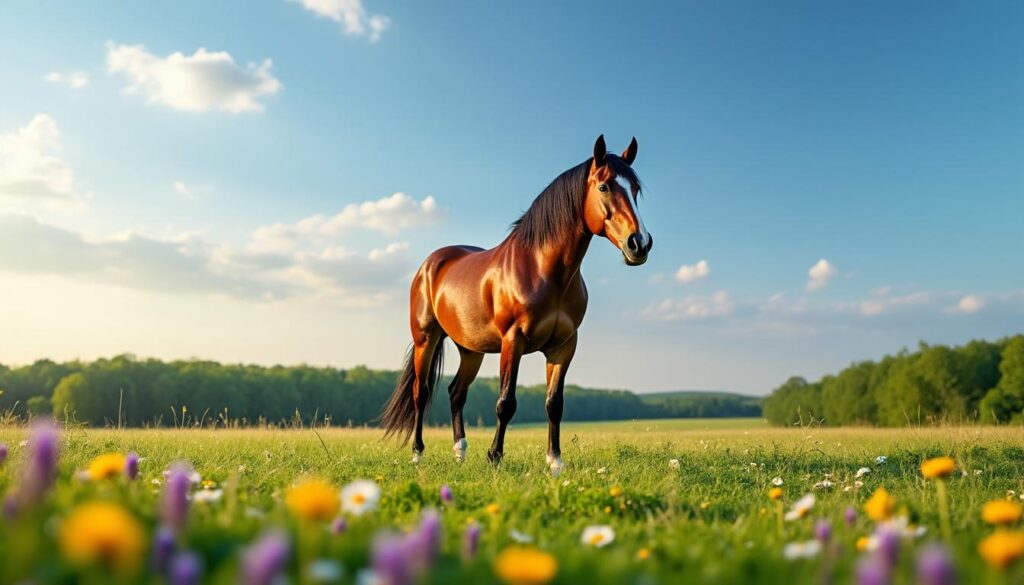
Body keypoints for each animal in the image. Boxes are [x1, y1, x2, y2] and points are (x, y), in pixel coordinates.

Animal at [380, 135, 652, 473]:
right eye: (604, 187)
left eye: (636, 189)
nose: (639, 244)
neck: (544, 269)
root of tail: (430, 264)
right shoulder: (514, 340)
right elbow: (505, 402)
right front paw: (495, 457)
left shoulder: (564, 346)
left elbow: (554, 404)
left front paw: (555, 462)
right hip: (425, 339)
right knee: (422, 392)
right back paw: (417, 453)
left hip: (470, 349)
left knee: (456, 393)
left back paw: (460, 452)